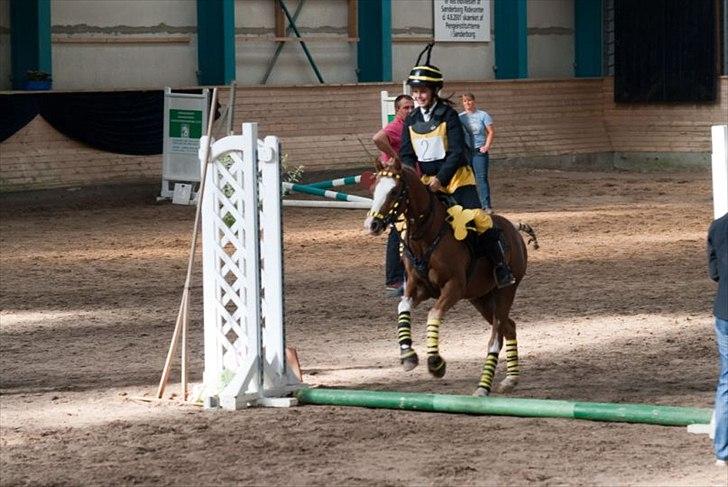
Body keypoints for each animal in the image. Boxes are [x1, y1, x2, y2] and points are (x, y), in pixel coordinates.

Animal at [363, 158, 538, 396]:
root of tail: (514, 229)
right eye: (374, 189)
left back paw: (483, 387)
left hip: (505, 292)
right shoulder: (419, 287)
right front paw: (408, 356)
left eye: (394, 191)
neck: (427, 236)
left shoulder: (453, 287)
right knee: (509, 327)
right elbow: (403, 307)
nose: (372, 225)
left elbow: (434, 314)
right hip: (480, 298)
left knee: (495, 338)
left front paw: (436, 363)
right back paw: (510, 380)